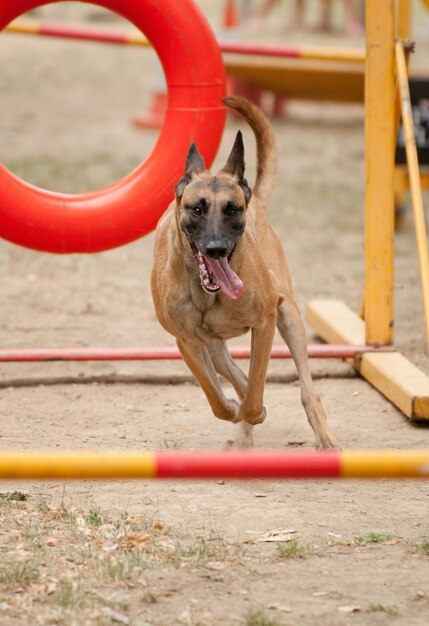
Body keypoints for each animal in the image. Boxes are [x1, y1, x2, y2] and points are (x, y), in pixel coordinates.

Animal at [150, 95, 338, 446]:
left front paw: (254, 411)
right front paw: (236, 410)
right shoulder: (188, 342)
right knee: (232, 374)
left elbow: (254, 391)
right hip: (213, 344)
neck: (208, 294)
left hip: (289, 315)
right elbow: (219, 399)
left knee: (306, 387)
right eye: (197, 208)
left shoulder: (266, 322)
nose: (216, 249)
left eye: (232, 209)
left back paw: (321, 436)